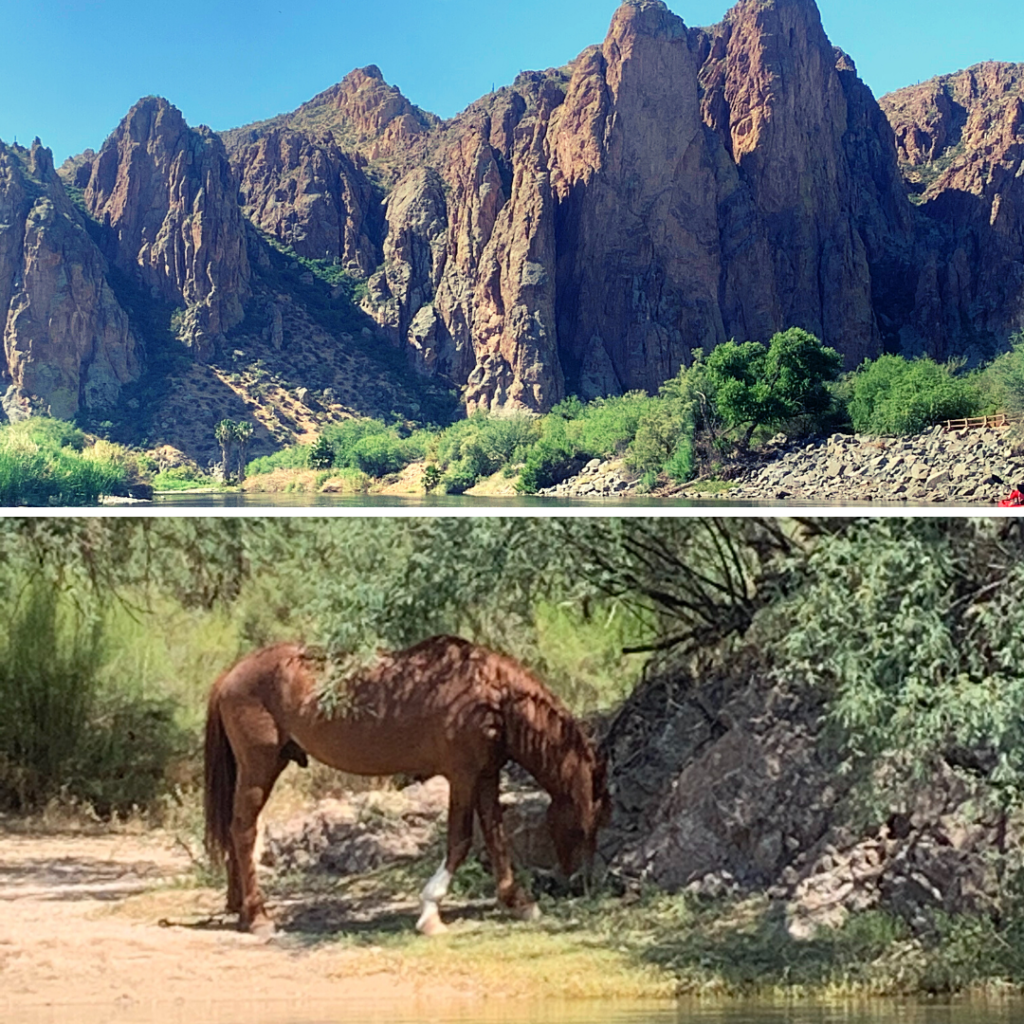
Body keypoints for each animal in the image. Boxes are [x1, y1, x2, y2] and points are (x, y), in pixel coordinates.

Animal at [204, 635, 610, 937]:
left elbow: (496, 839)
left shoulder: (485, 776)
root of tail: (230, 675)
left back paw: (241, 910)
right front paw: (431, 911)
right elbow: (460, 840)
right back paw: (259, 916)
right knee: (243, 831)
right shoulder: (462, 776)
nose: (582, 885)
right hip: (260, 768)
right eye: (584, 825)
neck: (491, 695)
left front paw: (518, 902)